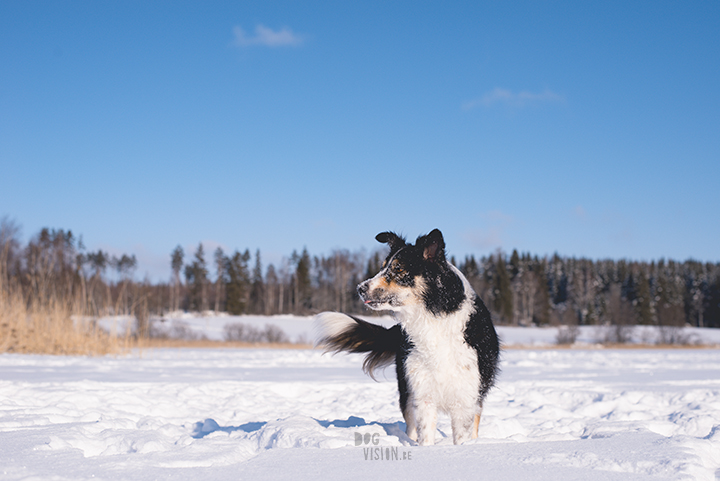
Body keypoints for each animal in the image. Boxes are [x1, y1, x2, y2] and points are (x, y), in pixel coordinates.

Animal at [316, 231, 500, 444]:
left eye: (398, 268)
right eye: (383, 266)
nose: (360, 288)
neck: (433, 318)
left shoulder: (465, 399)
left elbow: (462, 437)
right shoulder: (422, 393)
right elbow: (425, 435)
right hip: (406, 390)